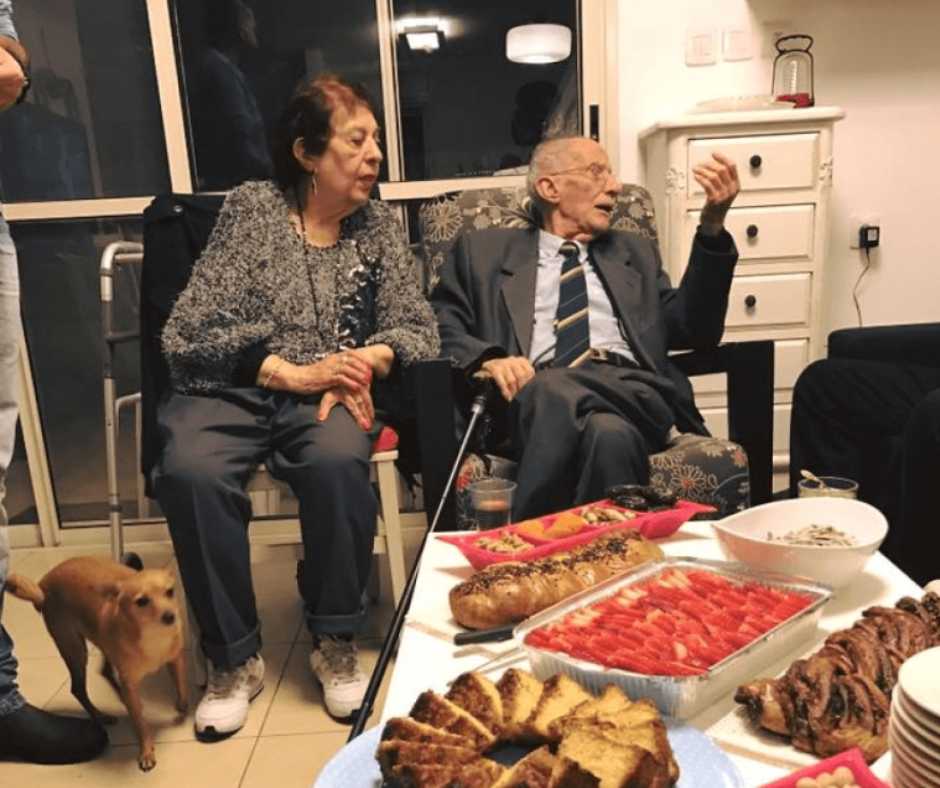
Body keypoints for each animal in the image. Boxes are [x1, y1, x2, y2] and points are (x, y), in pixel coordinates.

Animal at [5, 556, 187, 768]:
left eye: (170, 592)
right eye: (142, 601)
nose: (170, 616)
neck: (154, 637)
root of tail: (43, 584)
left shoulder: (176, 660)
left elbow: (181, 685)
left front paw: (182, 707)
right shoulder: (131, 684)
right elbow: (140, 721)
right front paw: (146, 751)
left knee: (105, 670)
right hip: (74, 649)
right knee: (78, 688)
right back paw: (100, 715)